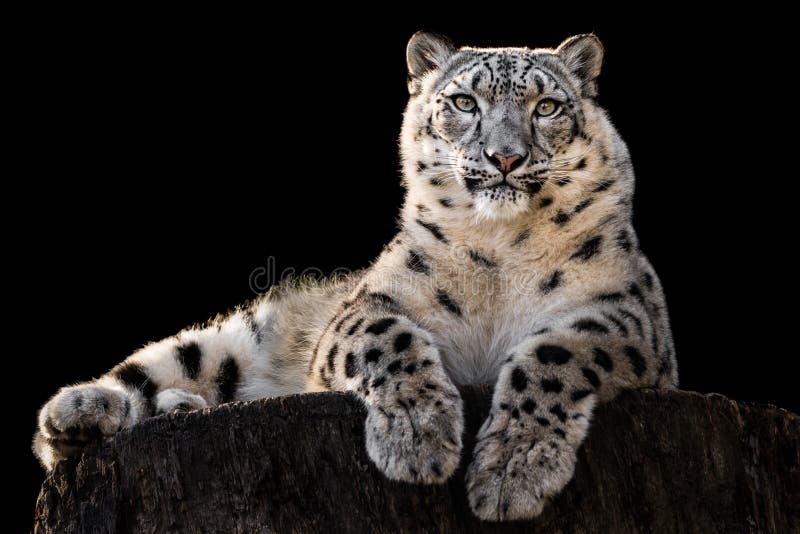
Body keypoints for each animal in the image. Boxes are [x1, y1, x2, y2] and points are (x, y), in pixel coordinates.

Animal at [36, 33, 676, 524]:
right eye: (464, 102)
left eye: (546, 107)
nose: (505, 157)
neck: (499, 250)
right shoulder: (365, 305)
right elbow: (388, 339)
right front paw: (419, 439)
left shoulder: (627, 315)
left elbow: (554, 356)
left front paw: (511, 473)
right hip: (237, 338)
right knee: (166, 364)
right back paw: (80, 413)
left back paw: (172, 408)